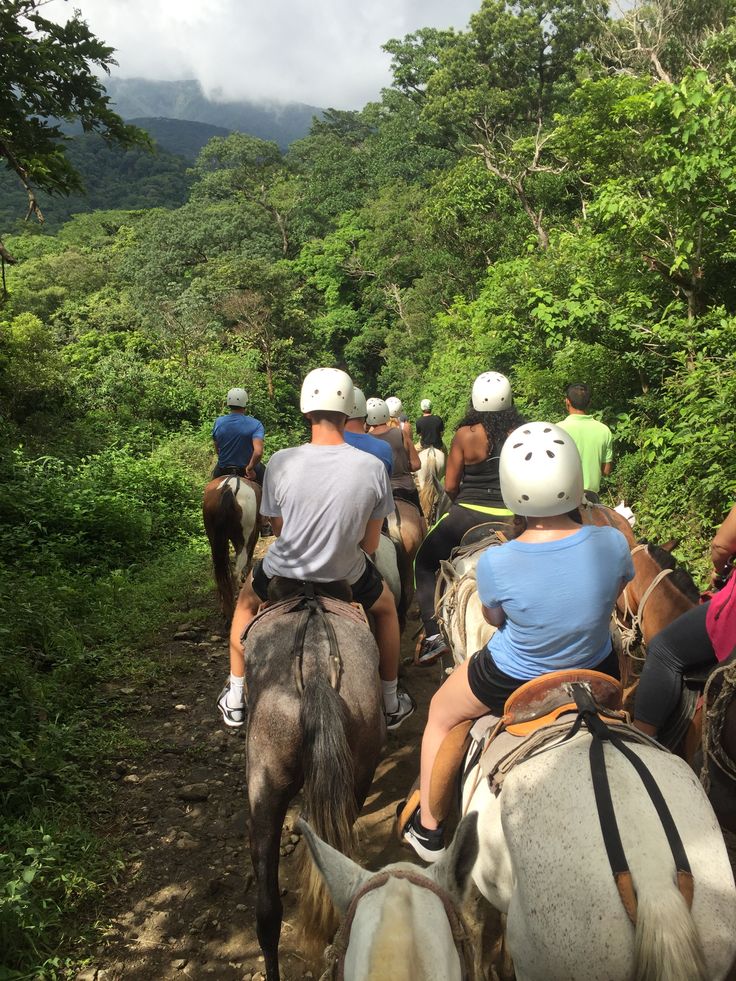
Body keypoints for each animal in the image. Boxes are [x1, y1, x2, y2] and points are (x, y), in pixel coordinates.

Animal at [203, 474, 260, 620]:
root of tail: (229, 488)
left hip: (214, 537)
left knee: (220, 572)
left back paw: (225, 608)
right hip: (243, 538)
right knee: (236, 570)